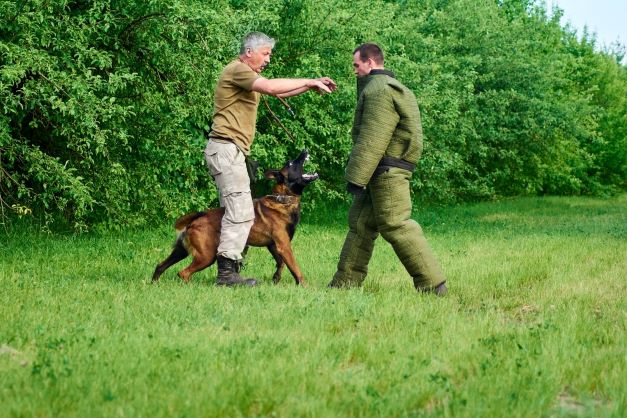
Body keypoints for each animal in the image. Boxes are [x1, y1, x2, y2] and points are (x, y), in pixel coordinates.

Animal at [152, 149, 318, 286]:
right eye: (291, 163)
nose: (304, 150)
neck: (283, 199)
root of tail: (199, 216)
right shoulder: (284, 246)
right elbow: (295, 268)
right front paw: (304, 286)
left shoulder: (273, 245)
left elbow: (281, 263)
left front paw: (276, 278)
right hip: (206, 256)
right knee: (183, 273)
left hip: (181, 251)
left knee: (160, 265)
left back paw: (154, 283)